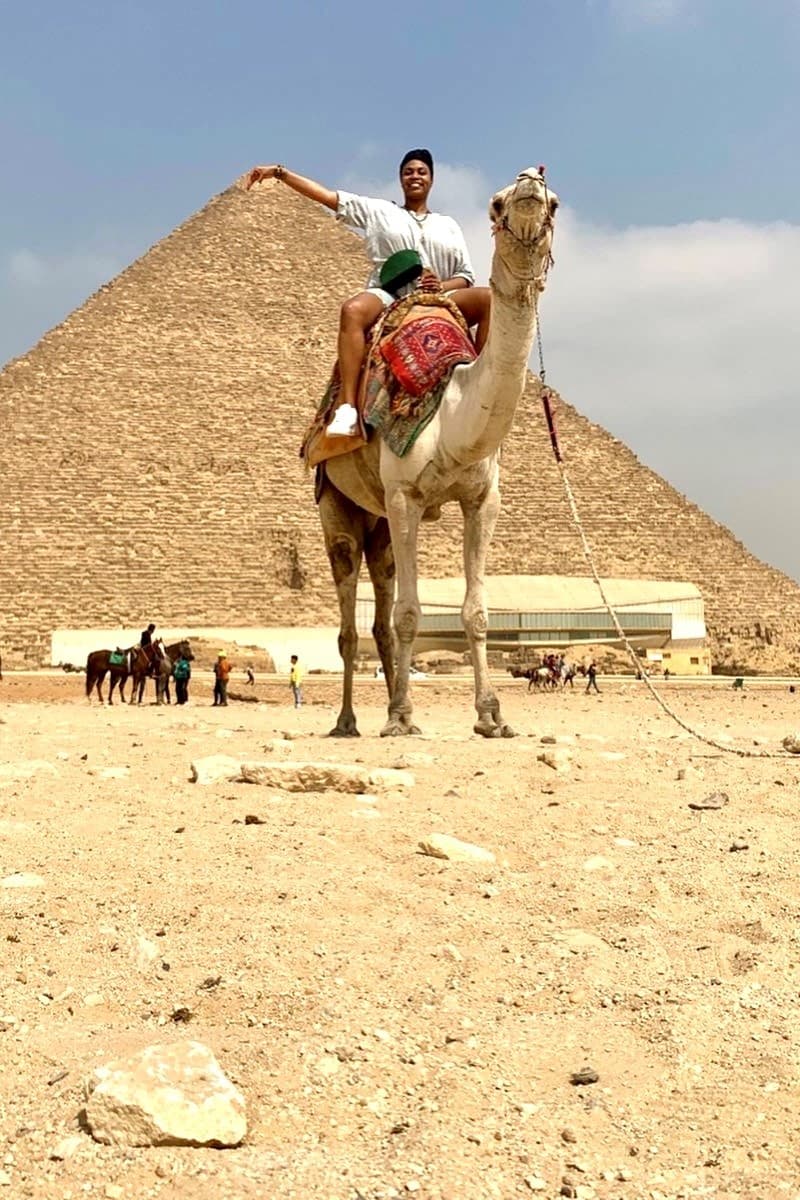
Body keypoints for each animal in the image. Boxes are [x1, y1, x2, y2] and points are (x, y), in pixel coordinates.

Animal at [318, 168, 558, 738]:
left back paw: (389, 702)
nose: (530, 181)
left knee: (380, 608)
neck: (452, 410)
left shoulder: (482, 500)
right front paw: (403, 716)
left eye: (555, 202)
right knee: (350, 621)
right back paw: (350, 720)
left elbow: (476, 612)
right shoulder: (405, 495)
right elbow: (410, 612)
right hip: (337, 506)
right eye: (496, 203)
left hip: (379, 522)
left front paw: (490, 715)